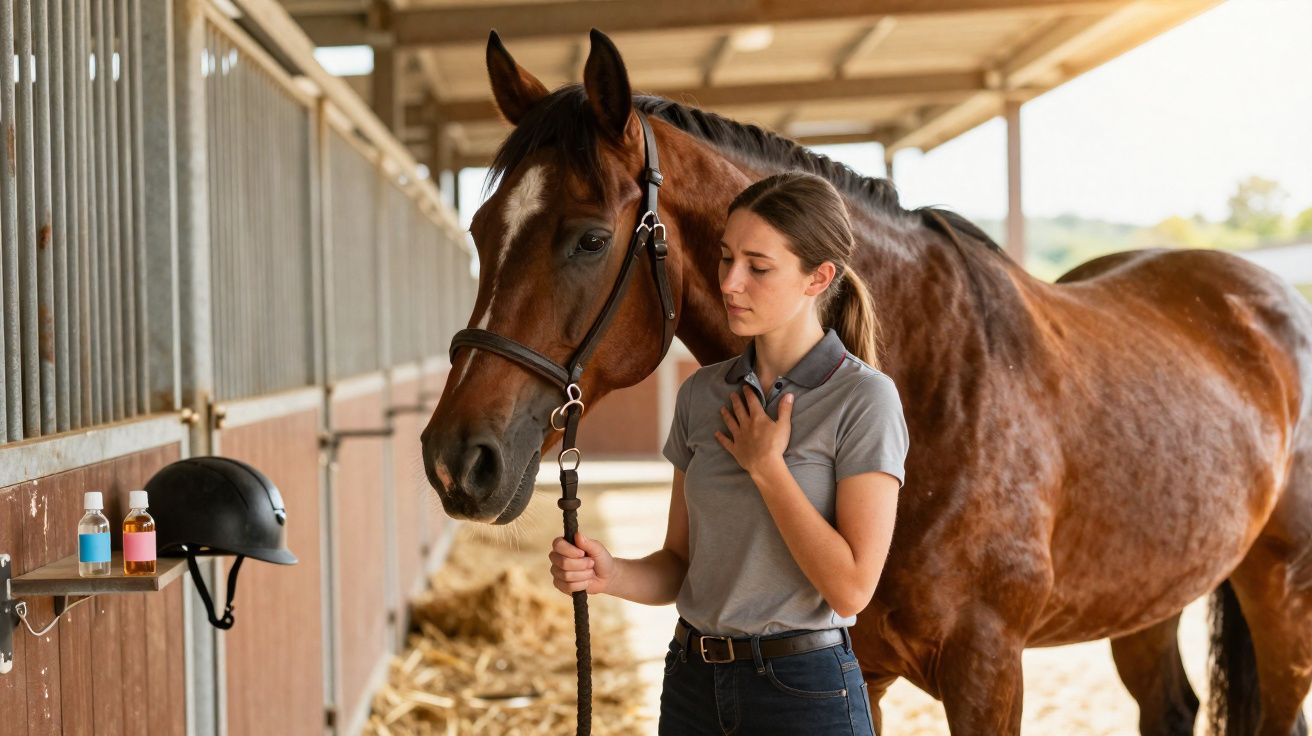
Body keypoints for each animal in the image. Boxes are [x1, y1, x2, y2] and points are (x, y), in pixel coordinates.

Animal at [420, 29, 1312, 735]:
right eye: (481, 230)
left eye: (589, 239)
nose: (456, 460)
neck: (934, 383)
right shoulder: (867, 667)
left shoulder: (988, 670)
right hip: (1150, 594)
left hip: (1280, 588)